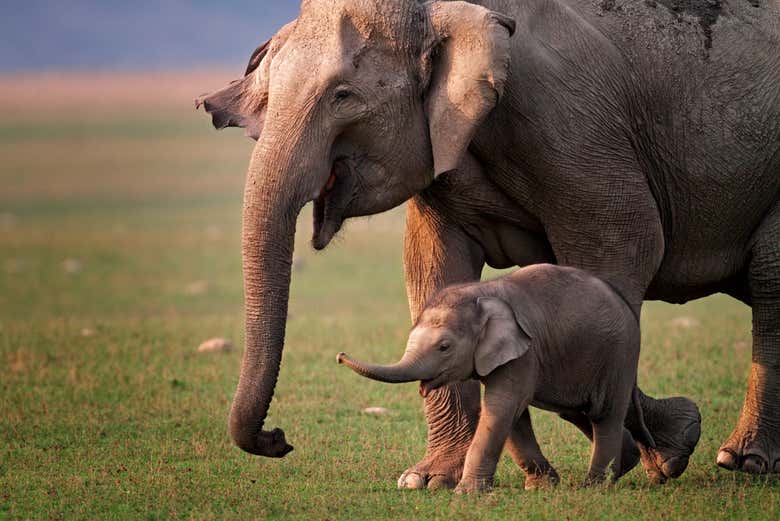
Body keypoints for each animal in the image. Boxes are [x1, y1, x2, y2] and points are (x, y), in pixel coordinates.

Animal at [338, 264, 656, 492]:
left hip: (619, 355)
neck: (481, 293)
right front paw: (541, 487)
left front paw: (466, 493)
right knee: (575, 411)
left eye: (444, 347)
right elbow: (513, 415)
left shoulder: (525, 352)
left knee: (604, 414)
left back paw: (594, 486)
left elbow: (502, 406)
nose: (339, 356)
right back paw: (625, 463)